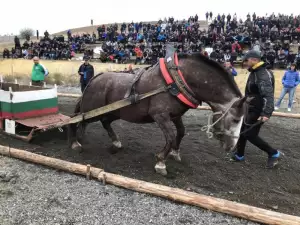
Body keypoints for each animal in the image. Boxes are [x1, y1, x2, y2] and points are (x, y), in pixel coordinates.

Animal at [68, 51, 248, 176]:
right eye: (235, 119)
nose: (231, 146)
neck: (176, 81)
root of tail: (94, 79)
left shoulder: (175, 115)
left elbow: (181, 132)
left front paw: (175, 153)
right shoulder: (160, 115)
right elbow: (170, 136)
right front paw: (161, 162)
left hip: (114, 111)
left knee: (104, 122)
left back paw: (115, 143)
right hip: (91, 109)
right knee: (77, 120)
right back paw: (76, 142)